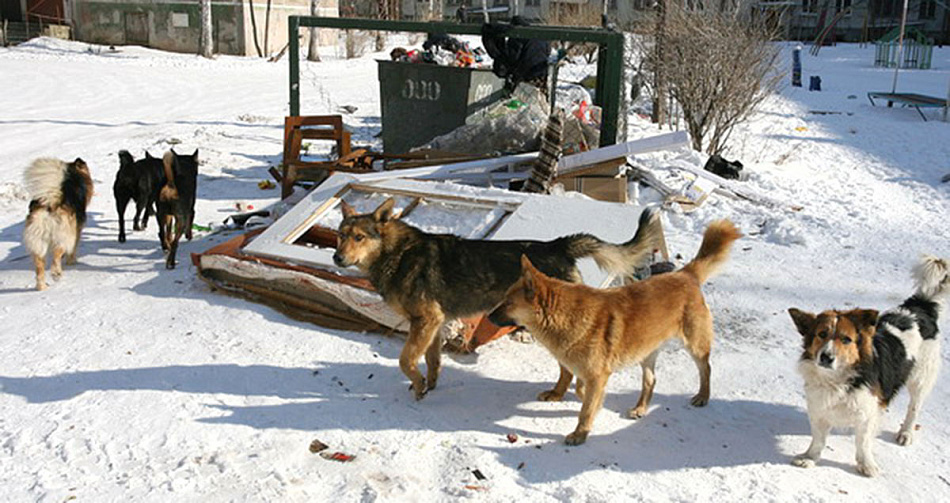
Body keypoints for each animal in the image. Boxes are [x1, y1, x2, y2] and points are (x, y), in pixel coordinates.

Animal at [22, 158, 95, 292]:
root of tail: (49, 204)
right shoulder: (77, 230)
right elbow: (73, 249)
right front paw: (72, 261)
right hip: (64, 234)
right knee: (57, 253)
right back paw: (56, 273)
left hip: (38, 240)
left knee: (39, 266)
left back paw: (42, 286)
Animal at [332, 197, 660, 402]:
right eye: (340, 236)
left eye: (359, 237)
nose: (336, 258)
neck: (396, 254)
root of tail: (558, 245)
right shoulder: (434, 324)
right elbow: (432, 361)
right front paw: (427, 388)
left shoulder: (425, 321)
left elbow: (405, 360)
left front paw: (417, 384)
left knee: (567, 368)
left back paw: (556, 395)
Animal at [490, 220, 744, 444]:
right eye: (503, 298)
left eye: (508, 303)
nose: (488, 317)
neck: (563, 315)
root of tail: (685, 274)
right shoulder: (580, 368)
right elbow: (574, 383)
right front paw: (561, 395)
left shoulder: (597, 375)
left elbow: (586, 406)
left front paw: (580, 433)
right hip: (646, 353)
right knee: (650, 381)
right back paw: (640, 407)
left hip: (694, 345)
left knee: (706, 369)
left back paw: (703, 396)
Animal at [788, 258, 950, 478]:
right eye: (821, 334)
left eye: (846, 339)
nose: (826, 357)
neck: (839, 379)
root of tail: (920, 307)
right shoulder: (819, 408)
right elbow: (818, 439)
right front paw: (810, 457)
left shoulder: (867, 412)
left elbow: (863, 442)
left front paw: (867, 465)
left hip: (921, 377)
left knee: (914, 407)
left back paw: (906, 433)